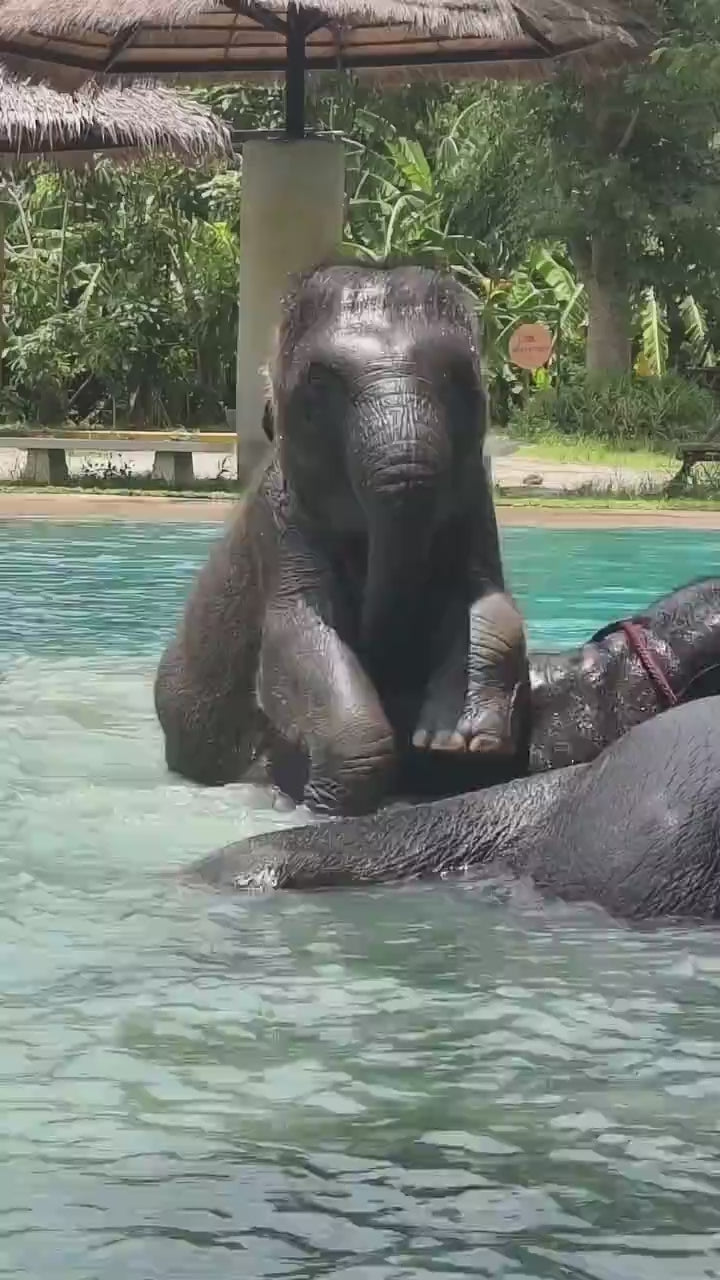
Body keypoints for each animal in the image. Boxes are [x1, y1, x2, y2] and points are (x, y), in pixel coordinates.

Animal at [155, 263, 529, 816]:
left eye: (460, 380)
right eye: (317, 392)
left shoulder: (475, 503)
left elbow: (490, 602)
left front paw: (457, 741)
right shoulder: (281, 527)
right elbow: (298, 635)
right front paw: (320, 799)